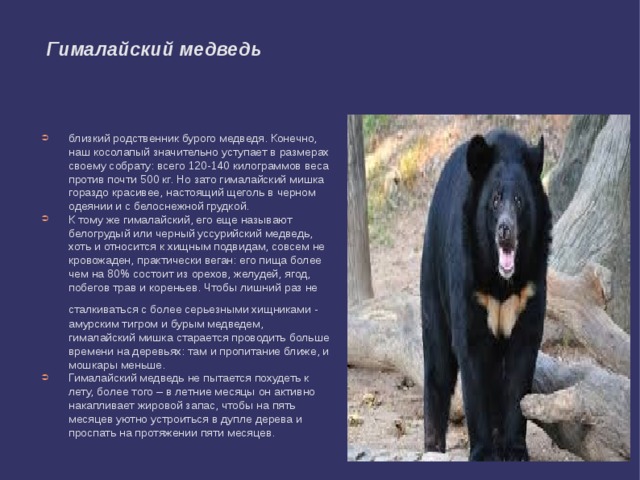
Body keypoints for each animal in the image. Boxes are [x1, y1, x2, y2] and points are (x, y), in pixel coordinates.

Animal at [420, 130, 551, 461]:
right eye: (494, 200)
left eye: (519, 200)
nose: (506, 230)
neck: (501, 281)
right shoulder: (468, 279)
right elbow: (471, 352)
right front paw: (482, 451)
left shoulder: (531, 285)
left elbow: (520, 363)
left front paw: (515, 449)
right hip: (433, 278)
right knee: (438, 364)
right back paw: (433, 445)